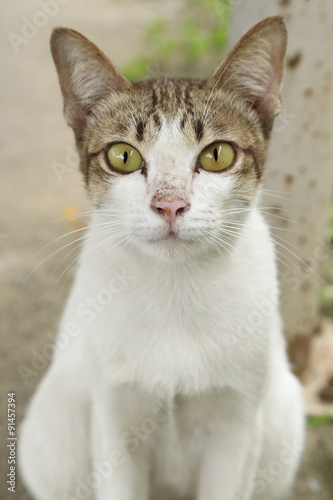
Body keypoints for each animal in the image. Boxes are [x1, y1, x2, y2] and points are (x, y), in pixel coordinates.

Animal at [18, 15, 304, 500]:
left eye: (217, 154)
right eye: (123, 156)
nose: (170, 204)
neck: (175, 290)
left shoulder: (237, 426)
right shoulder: (113, 422)